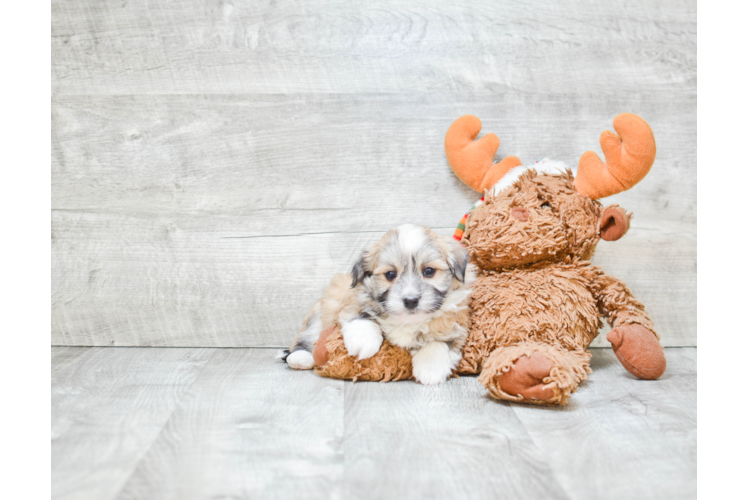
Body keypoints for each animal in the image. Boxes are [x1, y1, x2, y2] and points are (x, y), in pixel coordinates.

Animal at [280, 225, 474, 384]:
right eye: (390, 274)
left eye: (429, 271)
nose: (410, 300)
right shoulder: (353, 297)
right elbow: (360, 315)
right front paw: (363, 341)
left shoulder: (456, 324)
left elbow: (439, 342)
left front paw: (430, 368)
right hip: (318, 314)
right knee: (307, 337)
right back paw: (300, 357)